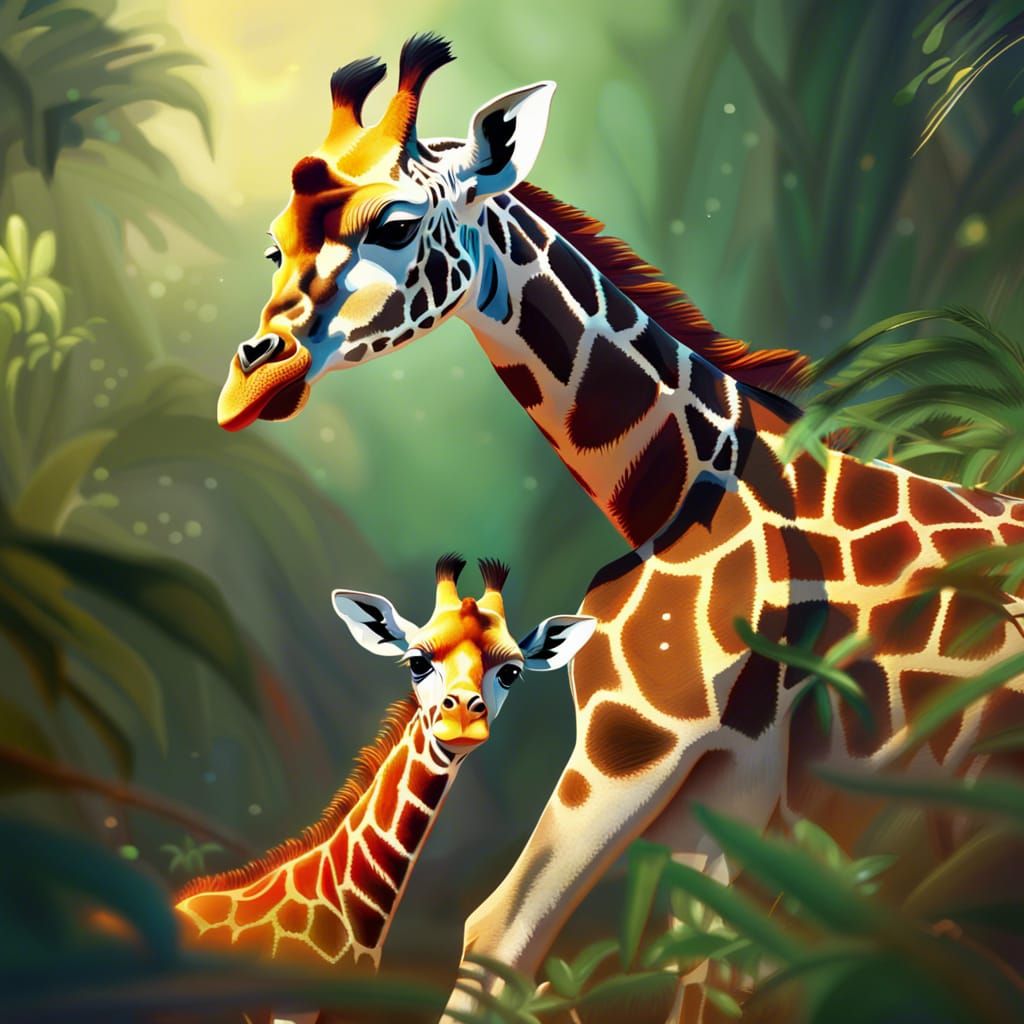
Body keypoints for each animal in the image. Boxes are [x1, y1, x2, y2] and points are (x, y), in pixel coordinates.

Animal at [214, 35, 1024, 1019]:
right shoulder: (730, 779)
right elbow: (705, 957)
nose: (252, 379)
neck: (676, 485)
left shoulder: (637, 739)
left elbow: (497, 936)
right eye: (275, 242)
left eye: (397, 227)